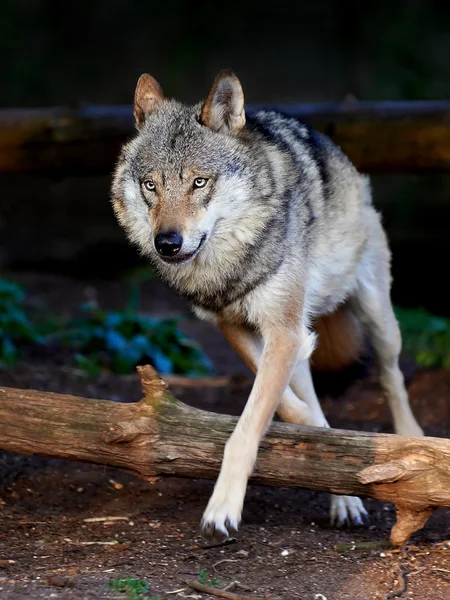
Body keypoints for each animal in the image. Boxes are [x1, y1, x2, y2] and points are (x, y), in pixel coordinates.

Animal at [110, 68, 424, 536]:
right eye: (151, 185)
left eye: (199, 182)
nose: (167, 243)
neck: (228, 263)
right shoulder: (240, 326)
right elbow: (292, 409)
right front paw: (330, 454)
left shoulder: (283, 333)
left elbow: (246, 428)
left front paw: (223, 507)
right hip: (305, 333)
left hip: (378, 318)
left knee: (392, 377)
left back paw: (410, 436)